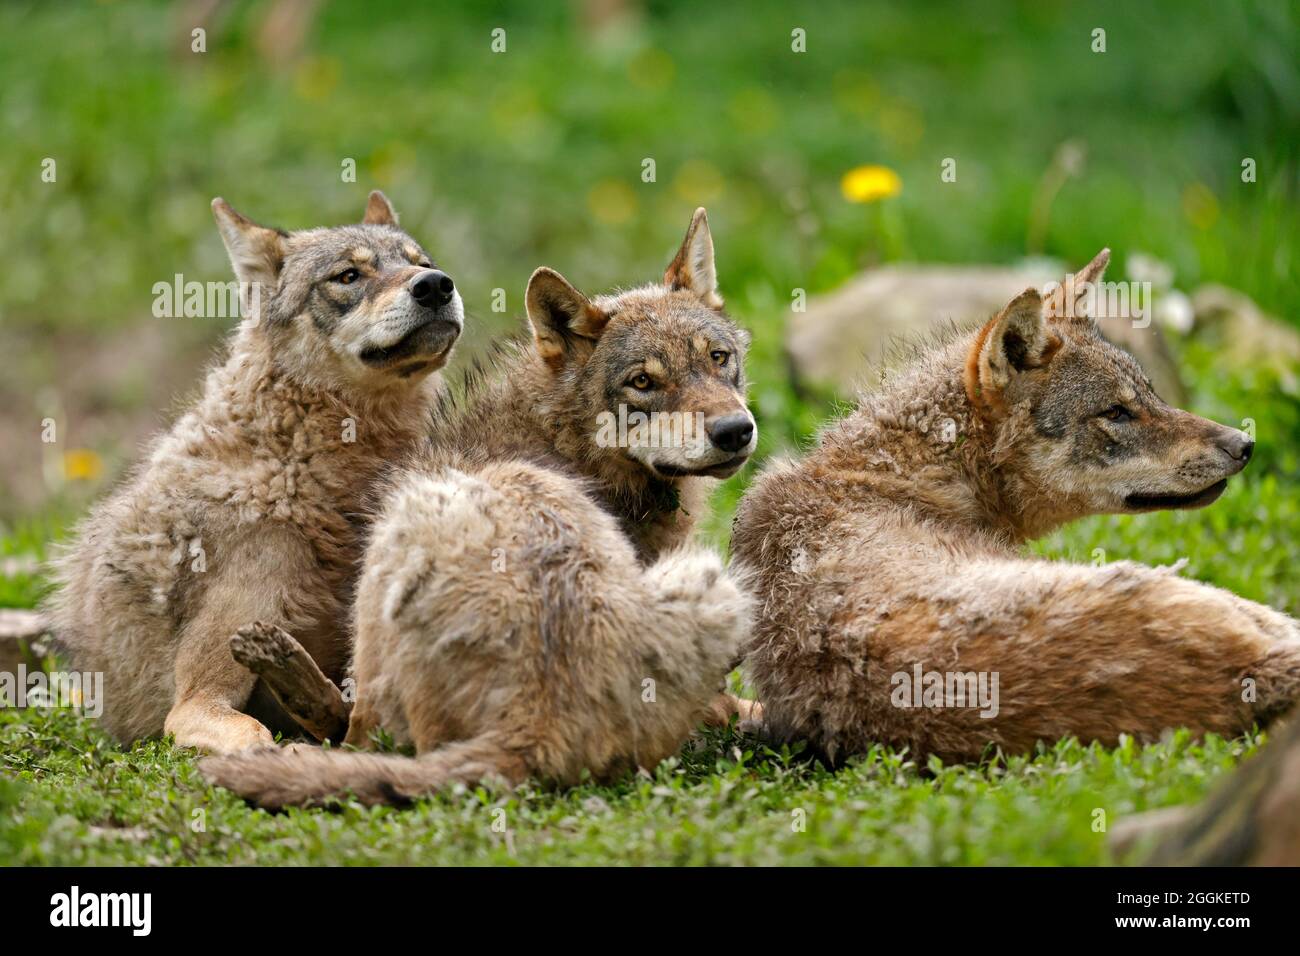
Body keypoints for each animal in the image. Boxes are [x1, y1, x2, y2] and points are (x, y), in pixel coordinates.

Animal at [48, 188, 465, 754]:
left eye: (421, 263)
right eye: (348, 276)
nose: (436, 285)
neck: (297, 463)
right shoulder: (199, 700)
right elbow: (253, 736)